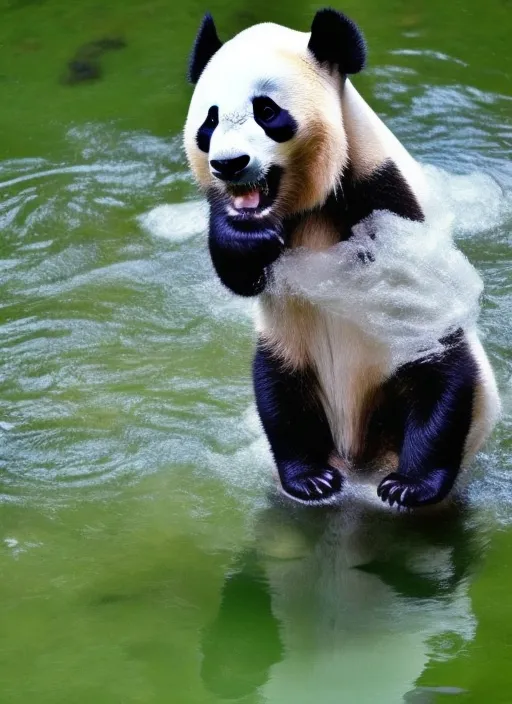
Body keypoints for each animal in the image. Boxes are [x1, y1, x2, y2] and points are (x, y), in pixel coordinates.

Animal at [184, 8, 500, 508]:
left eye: (266, 111)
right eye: (209, 121)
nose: (230, 164)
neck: (306, 203)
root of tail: (356, 454)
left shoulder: (383, 192)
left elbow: (406, 278)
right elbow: (239, 271)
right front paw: (251, 236)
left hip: (417, 367)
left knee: (442, 375)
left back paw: (410, 485)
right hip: (287, 352)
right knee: (279, 397)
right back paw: (310, 478)